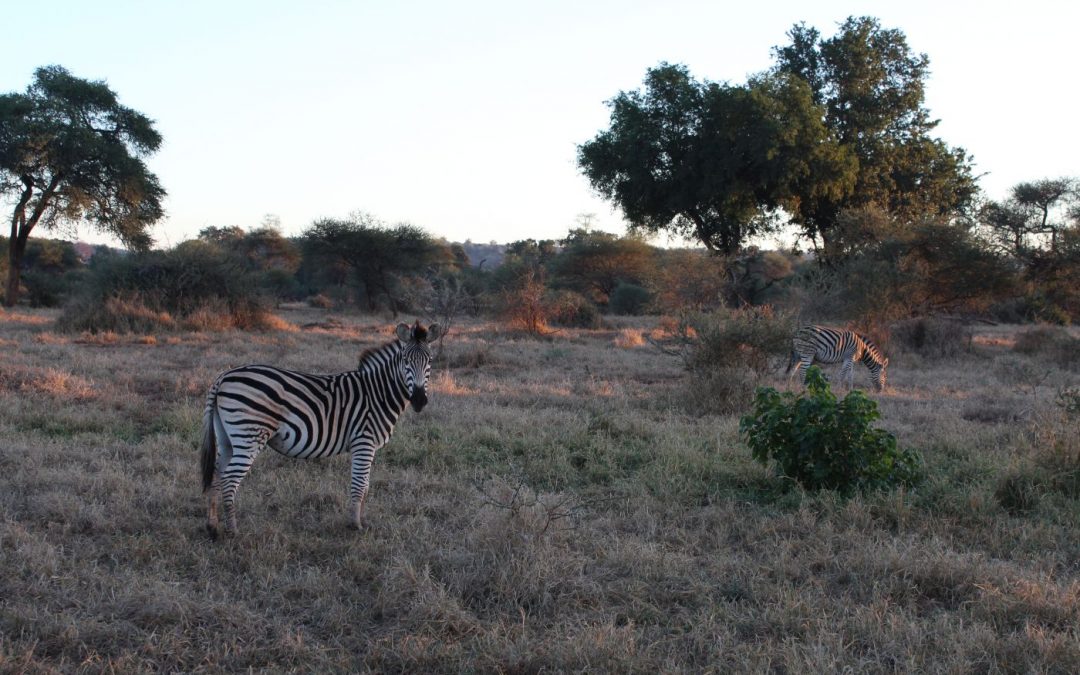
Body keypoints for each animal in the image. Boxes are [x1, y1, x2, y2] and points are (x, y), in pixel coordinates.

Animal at [200, 321, 440, 537]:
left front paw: (360, 521)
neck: (378, 393)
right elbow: (359, 485)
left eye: (430, 361)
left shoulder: (366, 446)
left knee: (216, 474)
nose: (419, 400)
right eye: (406, 360)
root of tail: (224, 376)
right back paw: (233, 531)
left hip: (227, 438)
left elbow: (366, 486)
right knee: (229, 479)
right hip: (249, 435)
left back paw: (213, 527)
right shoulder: (364, 442)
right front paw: (355, 525)